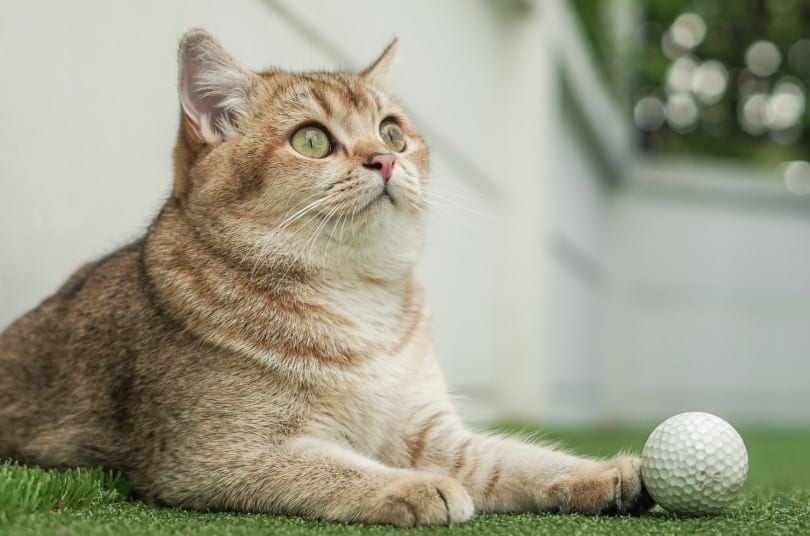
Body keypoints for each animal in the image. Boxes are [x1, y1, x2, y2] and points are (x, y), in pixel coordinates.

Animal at [0, 28, 652, 524]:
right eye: (311, 140)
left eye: (392, 132)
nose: (384, 159)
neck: (359, 300)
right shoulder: (214, 454)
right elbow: (328, 466)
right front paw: (409, 485)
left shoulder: (429, 430)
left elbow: (511, 458)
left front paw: (603, 473)